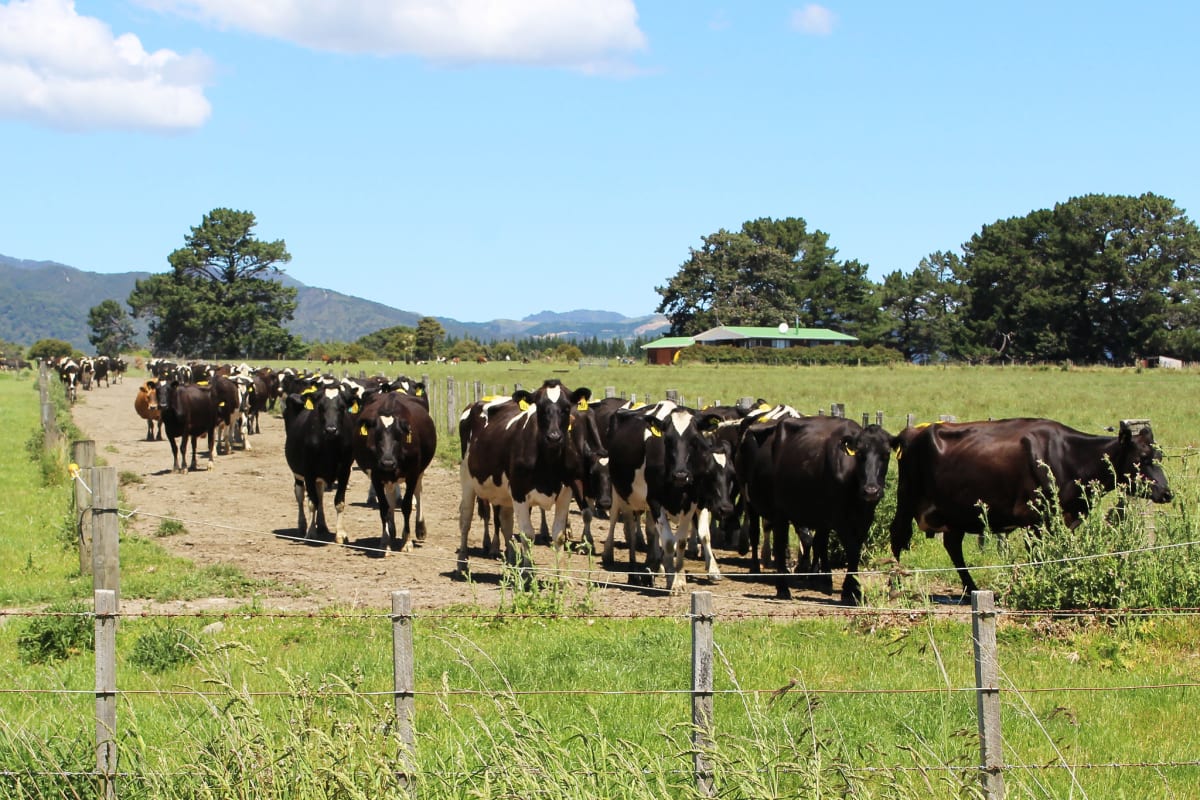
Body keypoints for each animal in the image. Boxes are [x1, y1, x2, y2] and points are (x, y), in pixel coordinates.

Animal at [282, 379, 355, 542]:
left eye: (342, 407)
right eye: (320, 407)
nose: (331, 430)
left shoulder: (345, 471)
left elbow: (339, 501)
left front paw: (340, 534)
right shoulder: (308, 471)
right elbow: (312, 502)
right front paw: (311, 532)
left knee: (320, 495)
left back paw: (322, 525)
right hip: (297, 473)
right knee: (300, 495)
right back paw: (302, 525)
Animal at [352, 391, 439, 554]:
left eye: (399, 436)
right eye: (377, 436)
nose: (387, 462)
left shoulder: (412, 474)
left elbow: (406, 505)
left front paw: (407, 542)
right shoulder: (376, 476)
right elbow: (384, 507)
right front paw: (385, 541)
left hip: (419, 471)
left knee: (418, 492)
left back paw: (420, 528)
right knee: (391, 496)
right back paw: (391, 529)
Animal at [456, 379, 592, 578]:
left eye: (567, 407)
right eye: (540, 408)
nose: (554, 437)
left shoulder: (565, 494)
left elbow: (558, 535)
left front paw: (559, 577)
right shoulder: (519, 492)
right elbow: (527, 535)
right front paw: (528, 575)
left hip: (504, 493)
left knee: (506, 522)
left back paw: (512, 562)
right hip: (467, 480)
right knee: (465, 520)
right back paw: (462, 564)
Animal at [892, 417, 1171, 597]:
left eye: (1159, 457)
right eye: (1140, 459)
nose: (1167, 493)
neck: (1069, 457)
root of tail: (913, 432)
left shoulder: (1064, 519)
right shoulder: (1033, 519)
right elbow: (1036, 556)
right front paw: (1037, 583)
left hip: (956, 511)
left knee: (952, 546)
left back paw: (971, 588)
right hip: (907, 498)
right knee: (897, 537)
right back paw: (895, 586)